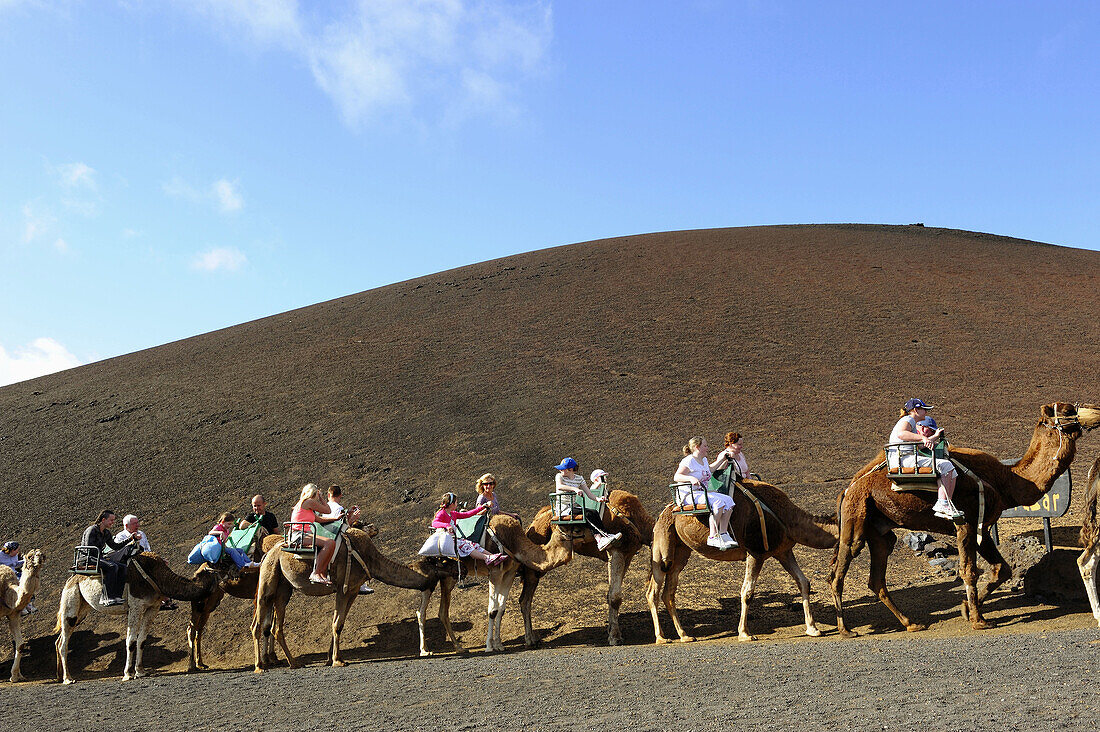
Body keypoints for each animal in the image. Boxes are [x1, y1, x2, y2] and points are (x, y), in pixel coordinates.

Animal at [0, 550, 43, 682]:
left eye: (43, 555)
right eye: (29, 556)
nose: (39, 558)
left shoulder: (13, 615)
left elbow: (20, 644)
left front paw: (15, 675)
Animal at [56, 550, 237, 682]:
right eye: (223, 563)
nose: (237, 568)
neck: (158, 576)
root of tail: (71, 578)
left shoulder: (153, 608)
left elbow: (142, 640)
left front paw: (141, 671)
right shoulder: (135, 607)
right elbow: (131, 641)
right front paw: (127, 674)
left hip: (83, 609)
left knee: (60, 640)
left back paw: (59, 676)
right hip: (71, 602)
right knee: (64, 642)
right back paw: (68, 678)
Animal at [517, 490, 651, 647]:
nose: (563, 531)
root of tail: (533, 523)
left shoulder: (627, 555)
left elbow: (610, 593)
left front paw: (610, 629)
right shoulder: (616, 552)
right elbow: (615, 597)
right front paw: (615, 637)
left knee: (525, 597)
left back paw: (532, 637)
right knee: (525, 598)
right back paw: (530, 639)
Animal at [642, 479, 831, 638]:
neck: (786, 517)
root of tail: (664, 512)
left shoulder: (783, 552)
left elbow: (803, 582)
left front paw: (813, 629)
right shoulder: (755, 552)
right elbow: (747, 592)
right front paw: (745, 633)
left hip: (681, 549)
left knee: (669, 590)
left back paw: (684, 636)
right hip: (662, 543)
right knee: (654, 588)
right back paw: (661, 638)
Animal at [827, 400, 1095, 634]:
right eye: (1068, 410)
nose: (1094, 413)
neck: (1007, 481)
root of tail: (848, 488)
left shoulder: (982, 526)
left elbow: (1002, 568)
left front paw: (967, 609)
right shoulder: (965, 522)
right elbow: (969, 570)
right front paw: (979, 620)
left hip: (880, 531)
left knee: (876, 579)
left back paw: (910, 623)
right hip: (856, 517)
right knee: (839, 571)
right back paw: (846, 630)